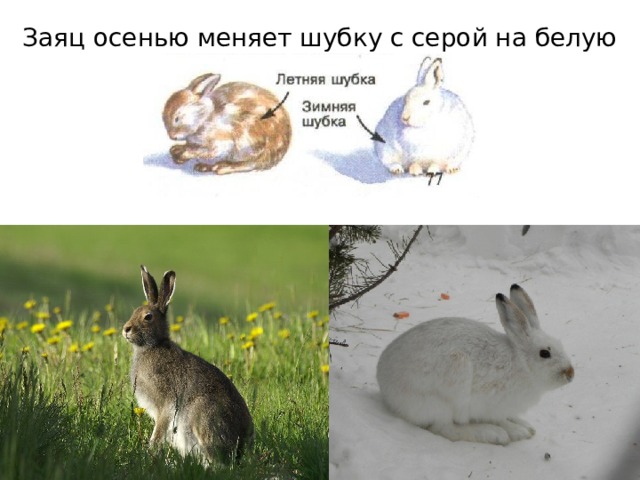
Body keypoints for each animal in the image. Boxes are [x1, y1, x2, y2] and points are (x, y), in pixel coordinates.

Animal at [122, 265, 254, 463]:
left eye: (148, 317)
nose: (126, 329)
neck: (154, 345)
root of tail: (241, 446)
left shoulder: (166, 403)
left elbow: (159, 430)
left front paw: (150, 451)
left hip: (201, 416)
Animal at [162, 73, 291, 175]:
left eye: (177, 118)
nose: (172, 136)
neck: (204, 117)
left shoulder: (221, 141)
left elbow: (207, 151)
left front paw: (183, 154)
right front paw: (176, 150)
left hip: (249, 142)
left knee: (250, 164)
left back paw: (222, 167)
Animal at [376, 284, 574, 445]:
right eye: (545, 353)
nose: (570, 374)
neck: (522, 364)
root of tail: (384, 387)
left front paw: (525, 426)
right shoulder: (494, 407)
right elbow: (501, 420)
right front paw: (517, 431)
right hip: (450, 389)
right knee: (445, 428)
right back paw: (492, 434)